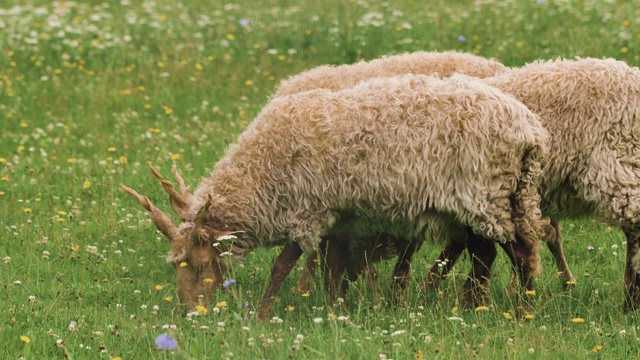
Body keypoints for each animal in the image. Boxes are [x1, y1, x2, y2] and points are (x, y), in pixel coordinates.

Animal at [122, 72, 548, 318]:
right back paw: (473, 304)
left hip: (488, 196)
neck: (262, 173)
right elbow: (333, 267)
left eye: (197, 264)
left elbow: (283, 266)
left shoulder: (309, 210)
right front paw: (335, 310)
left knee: (519, 252)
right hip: (489, 200)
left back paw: (520, 308)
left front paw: (261, 314)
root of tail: (529, 129)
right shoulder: (338, 218)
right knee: (487, 253)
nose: (189, 313)